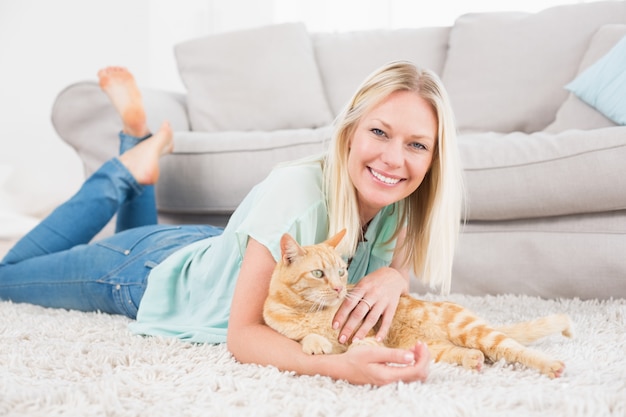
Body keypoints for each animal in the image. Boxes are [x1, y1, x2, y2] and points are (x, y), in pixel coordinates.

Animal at [260, 229, 572, 378]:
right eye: (318, 274)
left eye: (341, 272)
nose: (338, 288)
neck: (309, 312)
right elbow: (304, 338)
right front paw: (315, 342)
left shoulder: (364, 331)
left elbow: (360, 343)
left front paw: (358, 345)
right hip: (437, 349)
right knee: (468, 352)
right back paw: (473, 359)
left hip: (473, 331)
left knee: (514, 348)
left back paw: (550, 365)